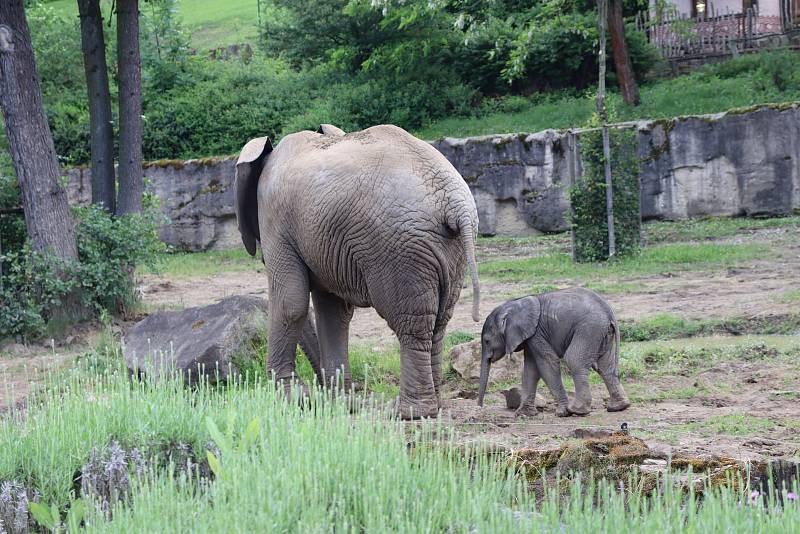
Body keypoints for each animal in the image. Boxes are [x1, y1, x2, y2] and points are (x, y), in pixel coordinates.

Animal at [234, 124, 478, 418]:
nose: (318, 388)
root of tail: (453, 202)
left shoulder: (275, 220)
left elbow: (290, 302)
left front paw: (291, 399)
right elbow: (334, 312)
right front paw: (340, 403)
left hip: (398, 251)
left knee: (411, 324)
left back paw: (407, 412)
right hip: (448, 251)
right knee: (439, 322)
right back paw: (433, 407)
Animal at [476, 288, 632, 418]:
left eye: (487, 341)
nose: (480, 406)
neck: (513, 304)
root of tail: (608, 311)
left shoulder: (537, 333)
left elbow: (547, 363)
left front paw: (562, 412)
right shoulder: (531, 336)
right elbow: (530, 370)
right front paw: (524, 414)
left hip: (589, 329)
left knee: (574, 360)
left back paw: (577, 411)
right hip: (603, 333)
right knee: (606, 367)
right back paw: (618, 407)